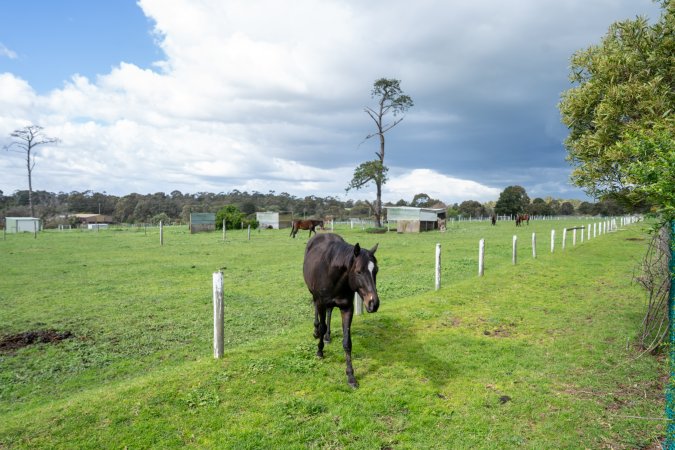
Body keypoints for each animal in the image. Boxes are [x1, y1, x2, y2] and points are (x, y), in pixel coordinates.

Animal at [303, 233, 379, 387]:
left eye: (376, 270)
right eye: (358, 271)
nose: (373, 303)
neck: (331, 272)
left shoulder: (347, 308)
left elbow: (347, 342)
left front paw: (351, 376)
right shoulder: (321, 302)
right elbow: (322, 325)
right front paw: (319, 351)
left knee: (329, 312)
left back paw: (328, 336)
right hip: (314, 295)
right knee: (317, 312)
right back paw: (316, 332)